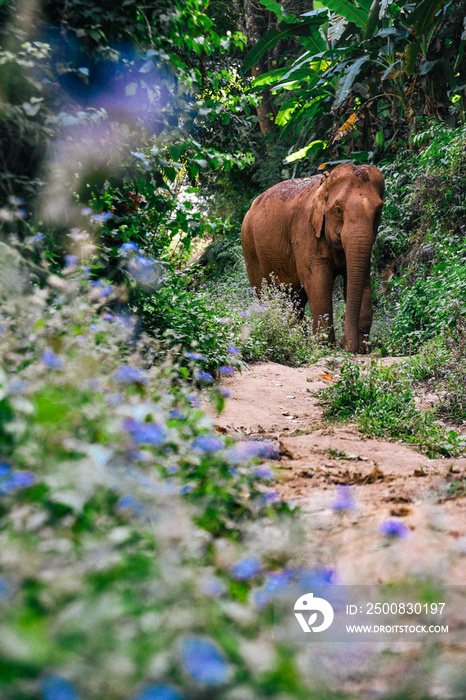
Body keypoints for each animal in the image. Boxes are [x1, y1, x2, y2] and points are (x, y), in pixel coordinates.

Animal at [242, 161, 384, 352]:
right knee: (265, 292)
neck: (323, 187)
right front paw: (325, 348)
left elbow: (362, 278)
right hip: (249, 247)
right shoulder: (304, 231)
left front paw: (363, 348)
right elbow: (318, 281)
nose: (345, 344)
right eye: (338, 209)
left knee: (295, 299)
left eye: (378, 211)